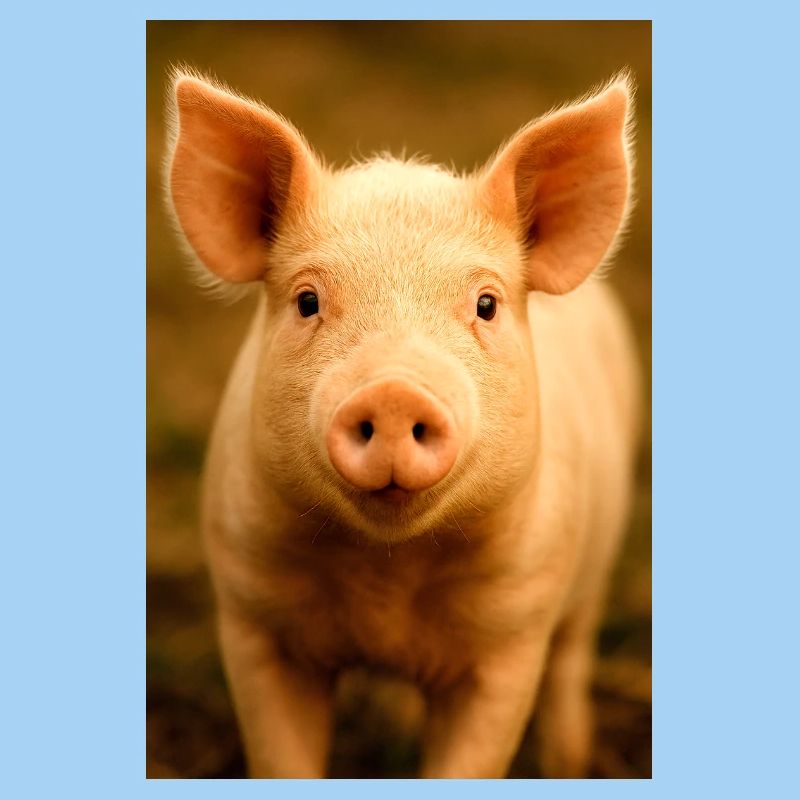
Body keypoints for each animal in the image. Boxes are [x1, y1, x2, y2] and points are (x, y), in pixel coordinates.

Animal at [165, 67, 642, 779]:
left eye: (486, 304)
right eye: (308, 300)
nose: (393, 392)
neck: (385, 581)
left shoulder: (511, 640)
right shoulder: (252, 618)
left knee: (571, 656)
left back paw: (569, 761)